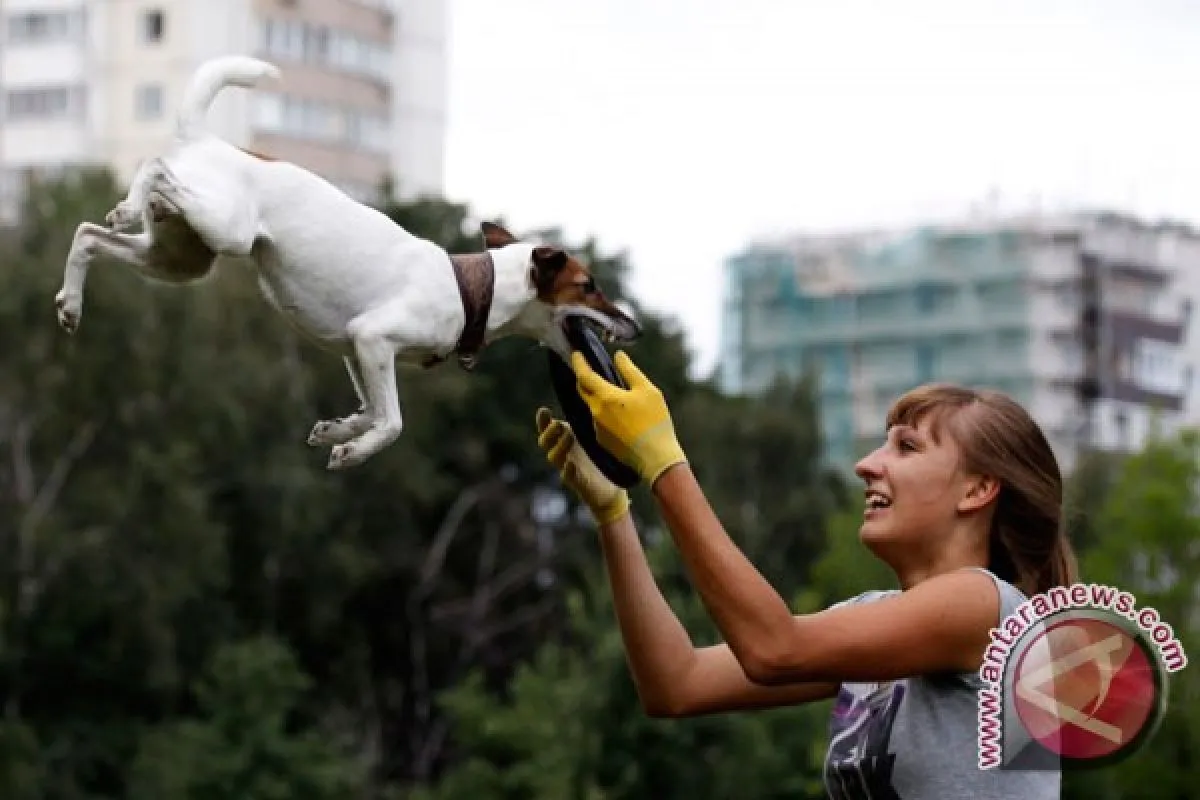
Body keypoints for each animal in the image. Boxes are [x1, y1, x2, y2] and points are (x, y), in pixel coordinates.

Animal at [56, 54, 638, 470]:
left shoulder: (357, 352)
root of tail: (205, 139)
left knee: (88, 234)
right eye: (588, 285)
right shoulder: (374, 338)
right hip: (227, 230)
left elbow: (371, 412)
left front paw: (336, 431)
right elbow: (393, 422)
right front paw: (351, 451)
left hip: (181, 257)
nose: (632, 325)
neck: (477, 288)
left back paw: (71, 303)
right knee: (154, 168)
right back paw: (126, 205)